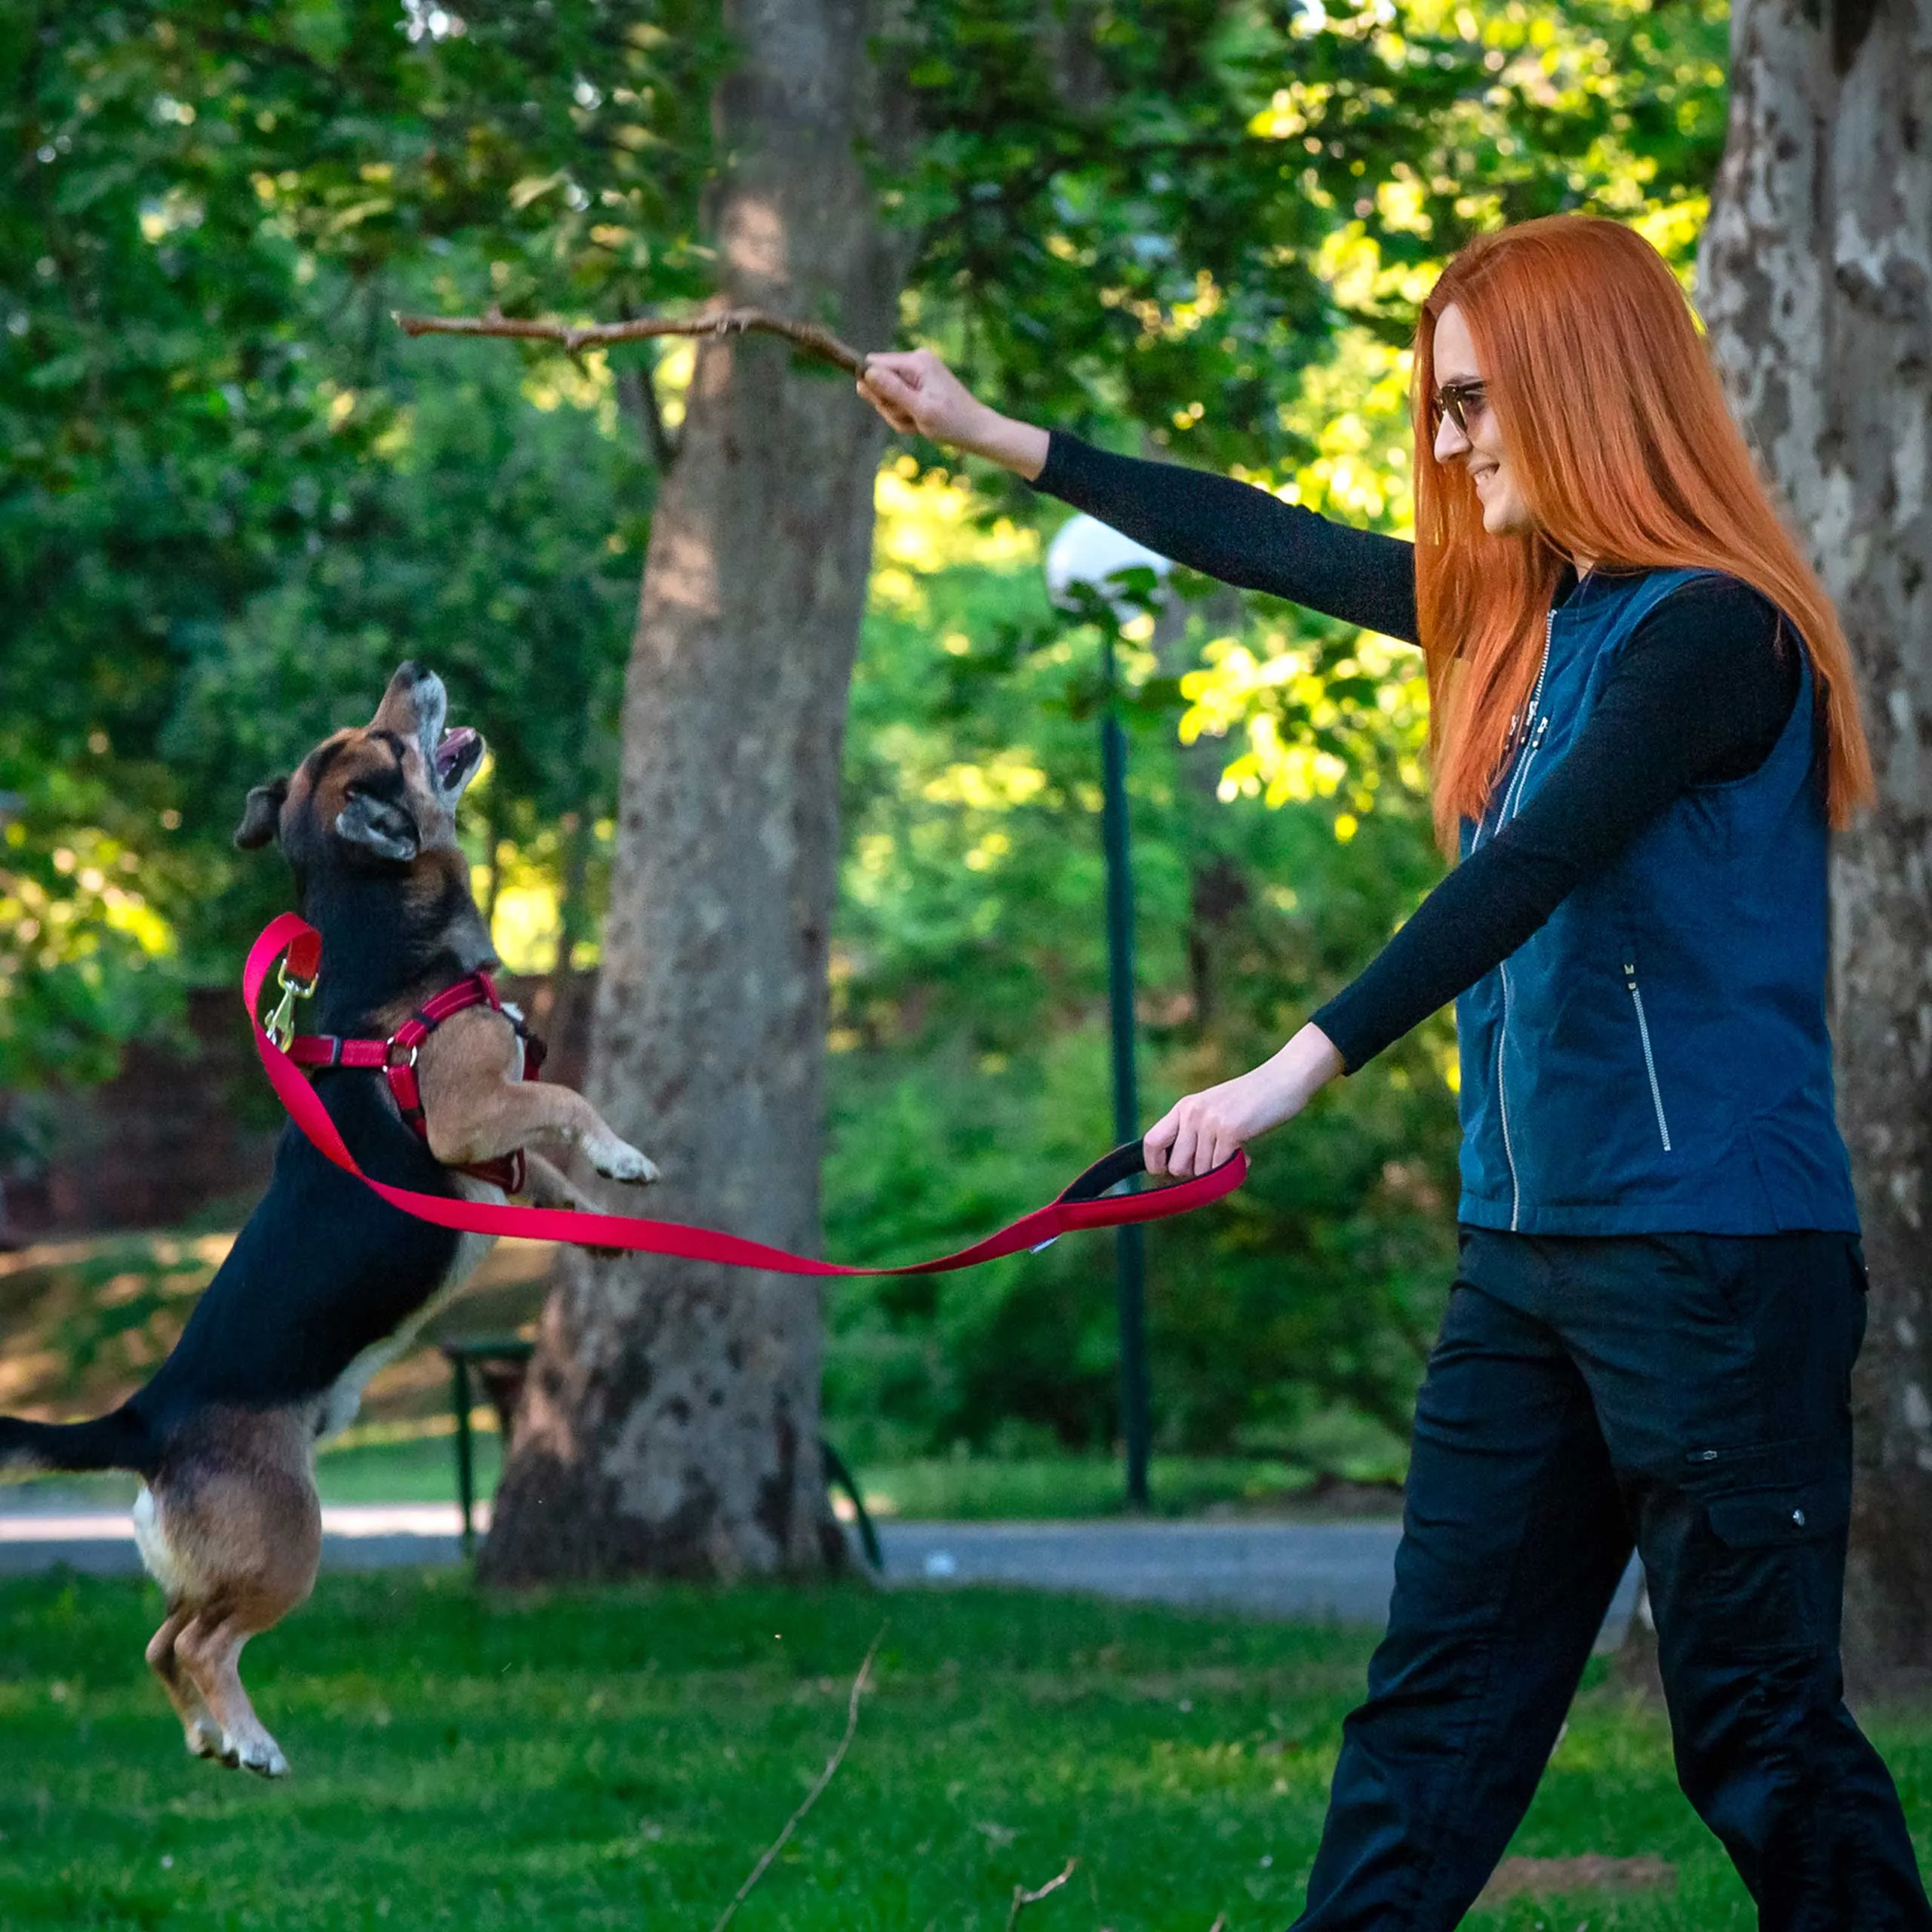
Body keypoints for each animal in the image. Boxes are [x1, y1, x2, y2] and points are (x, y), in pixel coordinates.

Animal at [0, 668, 657, 1777]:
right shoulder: (471, 1113)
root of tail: (146, 1420)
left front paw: (598, 1213)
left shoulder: (490, 1153)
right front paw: (624, 1156)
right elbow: (567, 1099)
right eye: (383, 742)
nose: (412, 671)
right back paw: (253, 1739)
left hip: (224, 1557)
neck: (383, 945)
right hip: (286, 1541)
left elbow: (547, 1173)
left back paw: (209, 1735)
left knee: (163, 1639)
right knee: (204, 1642)